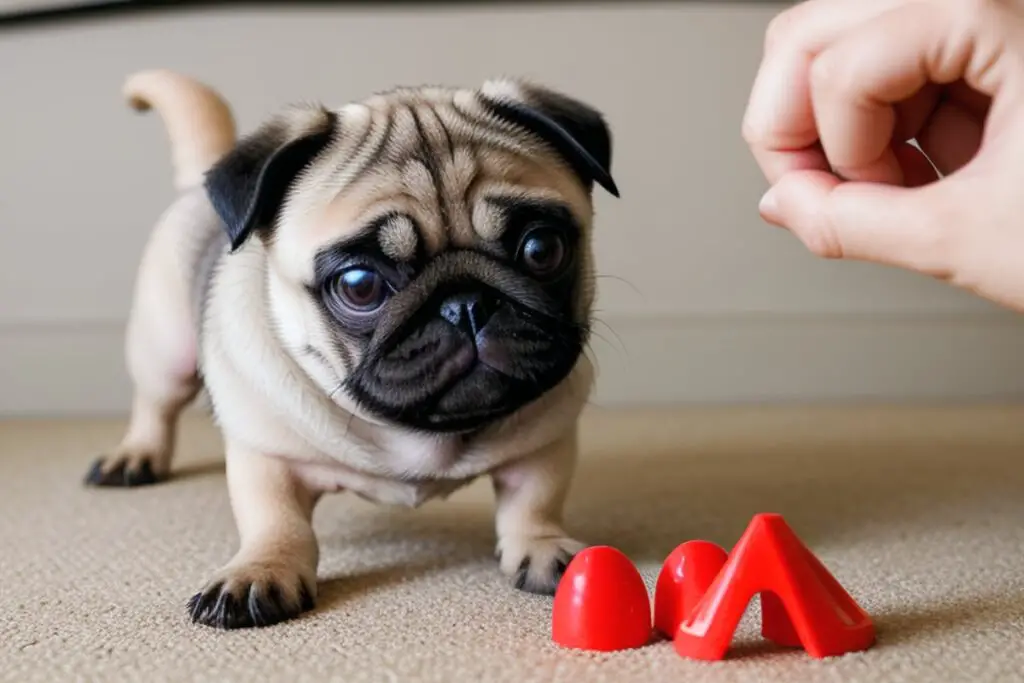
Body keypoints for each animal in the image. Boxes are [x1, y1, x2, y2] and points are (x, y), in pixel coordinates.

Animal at [86, 70, 614, 630]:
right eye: (360, 286)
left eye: (542, 250)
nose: (467, 305)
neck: (417, 431)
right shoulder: (267, 454)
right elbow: (275, 519)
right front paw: (260, 570)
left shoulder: (546, 439)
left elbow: (535, 500)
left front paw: (543, 546)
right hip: (166, 349)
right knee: (156, 404)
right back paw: (135, 457)